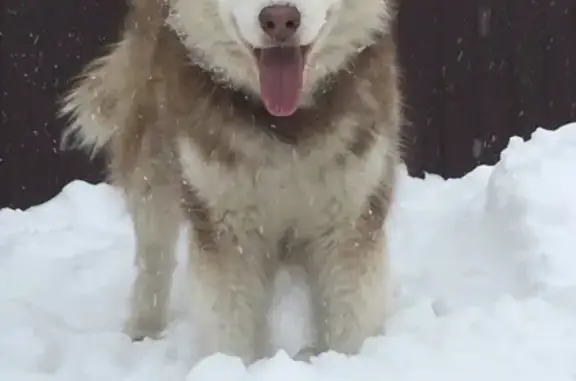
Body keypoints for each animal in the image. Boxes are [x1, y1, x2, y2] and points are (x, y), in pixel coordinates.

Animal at [58, 0, 400, 364]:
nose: (280, 19)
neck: (285, 129)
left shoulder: (351, 218)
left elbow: (349, 321)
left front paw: (340, 362)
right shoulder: (226, 225)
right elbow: (229, 326)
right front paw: (234, 366)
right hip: (152, 161)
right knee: (154, 254)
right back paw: (144, 327)